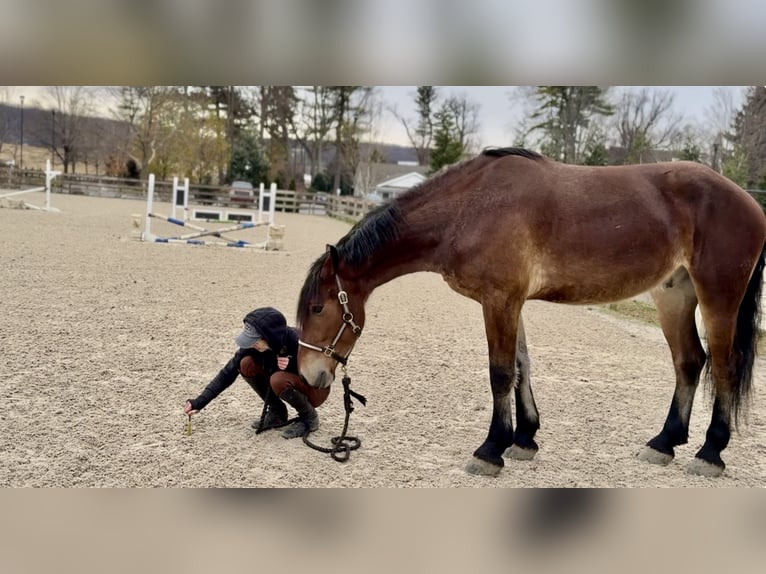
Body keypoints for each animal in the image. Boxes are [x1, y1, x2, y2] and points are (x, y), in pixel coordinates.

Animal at [296, 147, 766, 478]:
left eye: (318, 307)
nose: (308, 375)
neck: (469, 208)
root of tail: (749, 202)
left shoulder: (500, 300)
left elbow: (501, 373)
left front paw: (491, 449)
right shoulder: (511, 301)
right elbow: (522, 366)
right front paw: (523, 439)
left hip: (718, 296)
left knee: (724, 366)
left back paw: (710, 453)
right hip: (673, 296)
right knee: (689, 362)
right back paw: (664, 443)